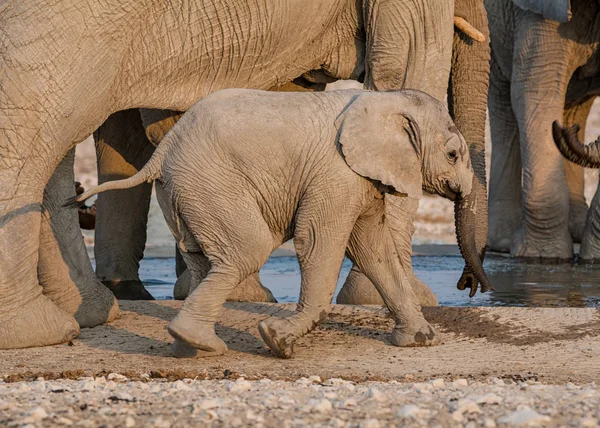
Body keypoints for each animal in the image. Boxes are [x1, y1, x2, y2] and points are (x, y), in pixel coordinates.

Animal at [72, 88, 480, 358]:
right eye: (452, 154)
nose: (467, 287)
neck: (382, 100)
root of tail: (162, 153)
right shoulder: (336, 175)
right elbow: (318, 242)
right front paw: (277, 341)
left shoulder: (360, 180)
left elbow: (373, 250)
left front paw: (420, 341)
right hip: (211, 185)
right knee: (247, 250)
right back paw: (203, 342)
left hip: (183, 195)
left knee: (205, 259)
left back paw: (191, 347)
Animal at [486, 0, 596, 260]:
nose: (563, 131)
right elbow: (536, 89)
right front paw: (543, 256)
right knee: (504, 99)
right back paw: (503, 241)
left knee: (575, 105)